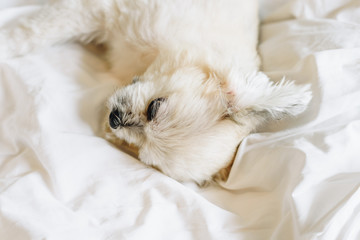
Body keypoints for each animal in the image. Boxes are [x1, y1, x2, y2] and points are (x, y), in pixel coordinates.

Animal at [0, 0, 310, 185]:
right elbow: (32, 33)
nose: (115, 119)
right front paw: (5, 44)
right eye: (154, 107)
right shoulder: (100, 9)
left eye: (142, 152)